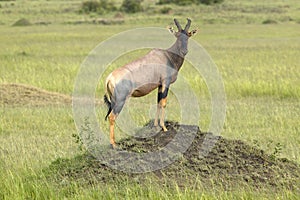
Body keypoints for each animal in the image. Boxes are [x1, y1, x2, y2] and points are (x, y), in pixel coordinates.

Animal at [104, 18, 198, 148]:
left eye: (188, 35)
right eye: (177, 35)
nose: (184, 51)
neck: (167, 55)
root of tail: (109, 78)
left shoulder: (159, 85)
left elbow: (158, 102)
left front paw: (156, 125)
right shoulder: (165, 83)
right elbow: (163, 103)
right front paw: (164, 128)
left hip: (114, 100)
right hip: (120, 100)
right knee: (112, 117)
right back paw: (113, 144)